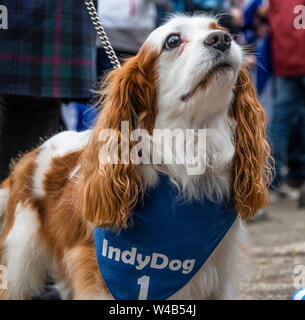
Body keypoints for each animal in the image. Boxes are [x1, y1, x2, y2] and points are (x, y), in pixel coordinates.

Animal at [0, 15, 270, 300]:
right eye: (173, 40)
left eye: (220, 30)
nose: (222, 39)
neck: (190, 149)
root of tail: (27, 159)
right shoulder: (96, 277)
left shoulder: (219, 278)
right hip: (21, 263)